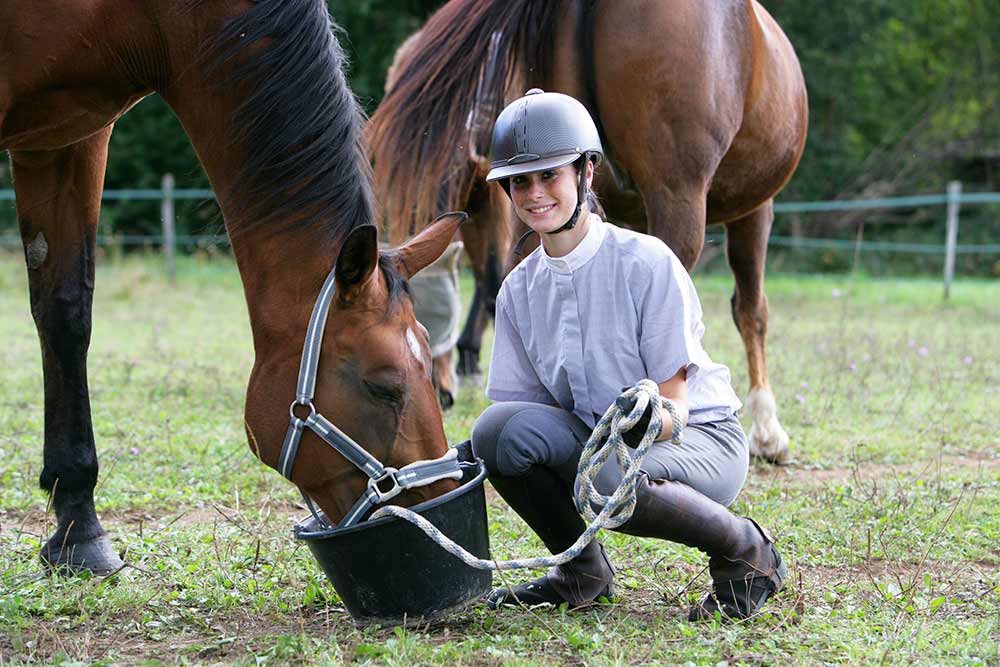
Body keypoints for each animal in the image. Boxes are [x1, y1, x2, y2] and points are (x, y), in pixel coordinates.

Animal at [0, 0, 460, 576]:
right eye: (383, 387)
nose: (441, 503)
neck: (155, 17)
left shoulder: (69, 141)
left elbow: (65, 315)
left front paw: (78, 529)